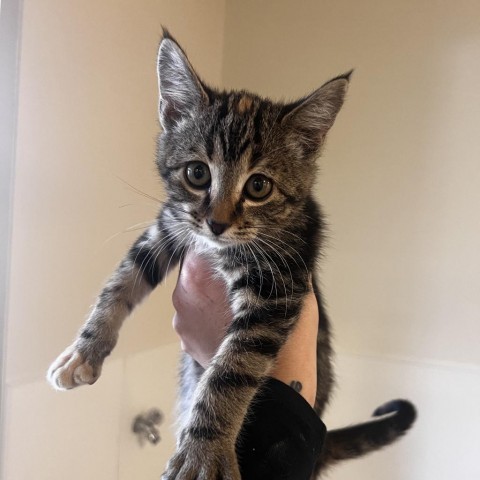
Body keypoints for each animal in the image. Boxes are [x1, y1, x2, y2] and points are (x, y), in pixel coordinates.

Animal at [47, 31, 416, 478]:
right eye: (196, 173)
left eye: (259, 186)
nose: (216, 223)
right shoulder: (169, 226)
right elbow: (120, 282)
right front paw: (84, 350)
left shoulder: (279, 281)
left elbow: (233, 366)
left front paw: (203, 454)